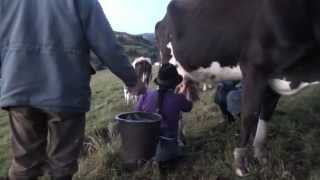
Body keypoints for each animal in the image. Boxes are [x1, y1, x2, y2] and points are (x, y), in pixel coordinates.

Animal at [156, 0, 320, 176]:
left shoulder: (274, 78)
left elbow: (265, 116)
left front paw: (261, 156)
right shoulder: (253, 68)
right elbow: (249, 116)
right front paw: (240, 163)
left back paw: (181, 140)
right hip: (170, 67)